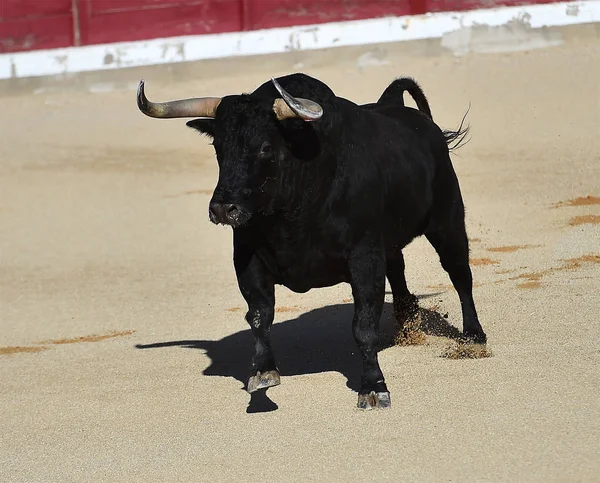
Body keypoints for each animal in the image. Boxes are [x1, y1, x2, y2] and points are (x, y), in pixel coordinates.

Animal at [137, 73, 488, 410]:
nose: (224, 208)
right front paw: (262, 372)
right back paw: (407, 321)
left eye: (265, 147)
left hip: (447, 220)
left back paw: (473, 335)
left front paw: (374, 387)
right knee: (398, 267)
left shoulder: (364, 256)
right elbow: (259, 315)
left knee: (459, 273)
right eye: (218, 148)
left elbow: (363, 325)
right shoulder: (247, 258)